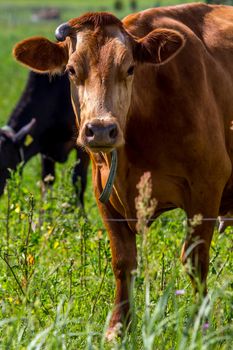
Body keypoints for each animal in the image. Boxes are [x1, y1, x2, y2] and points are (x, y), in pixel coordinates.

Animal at [13, 3, 233, 340]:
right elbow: (123, 262)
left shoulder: (206, 187)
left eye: (129, 68)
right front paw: (119, 328)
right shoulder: (103, 194)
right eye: (71, 70)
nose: (101, 130)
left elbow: (195, 260)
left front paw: (200, 325)